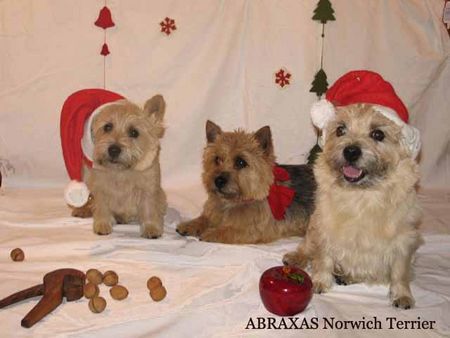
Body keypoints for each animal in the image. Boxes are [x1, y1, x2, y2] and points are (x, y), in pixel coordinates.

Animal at [59, 88, 166, 239]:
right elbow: (101, 207)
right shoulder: (100, 190)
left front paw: (151, 227)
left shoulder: (148, 189)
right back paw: (83, 209)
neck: (120, 171)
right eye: (107, 127)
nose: (114, 149)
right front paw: (102, 224)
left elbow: (149, 209)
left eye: (134, 132)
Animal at [176, 120, 316, 244]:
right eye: (217, 159)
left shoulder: (255, 230)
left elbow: (229, 230)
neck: (233, 201)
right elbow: (205, 218)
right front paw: (191, 224)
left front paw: (212, 233)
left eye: (241, 162)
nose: (218, 180)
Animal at [284, 69, 424, 308]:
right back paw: (297, 258)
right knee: (307, 247)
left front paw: (402, 294)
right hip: (313, 226)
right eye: (340, 130)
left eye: (378, 134)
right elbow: (323, 257)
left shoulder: (404, 240)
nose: (351, 151)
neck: (362, 195)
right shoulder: (325, 228)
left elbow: (400, 271)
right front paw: (320, 281)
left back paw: (348, 276)